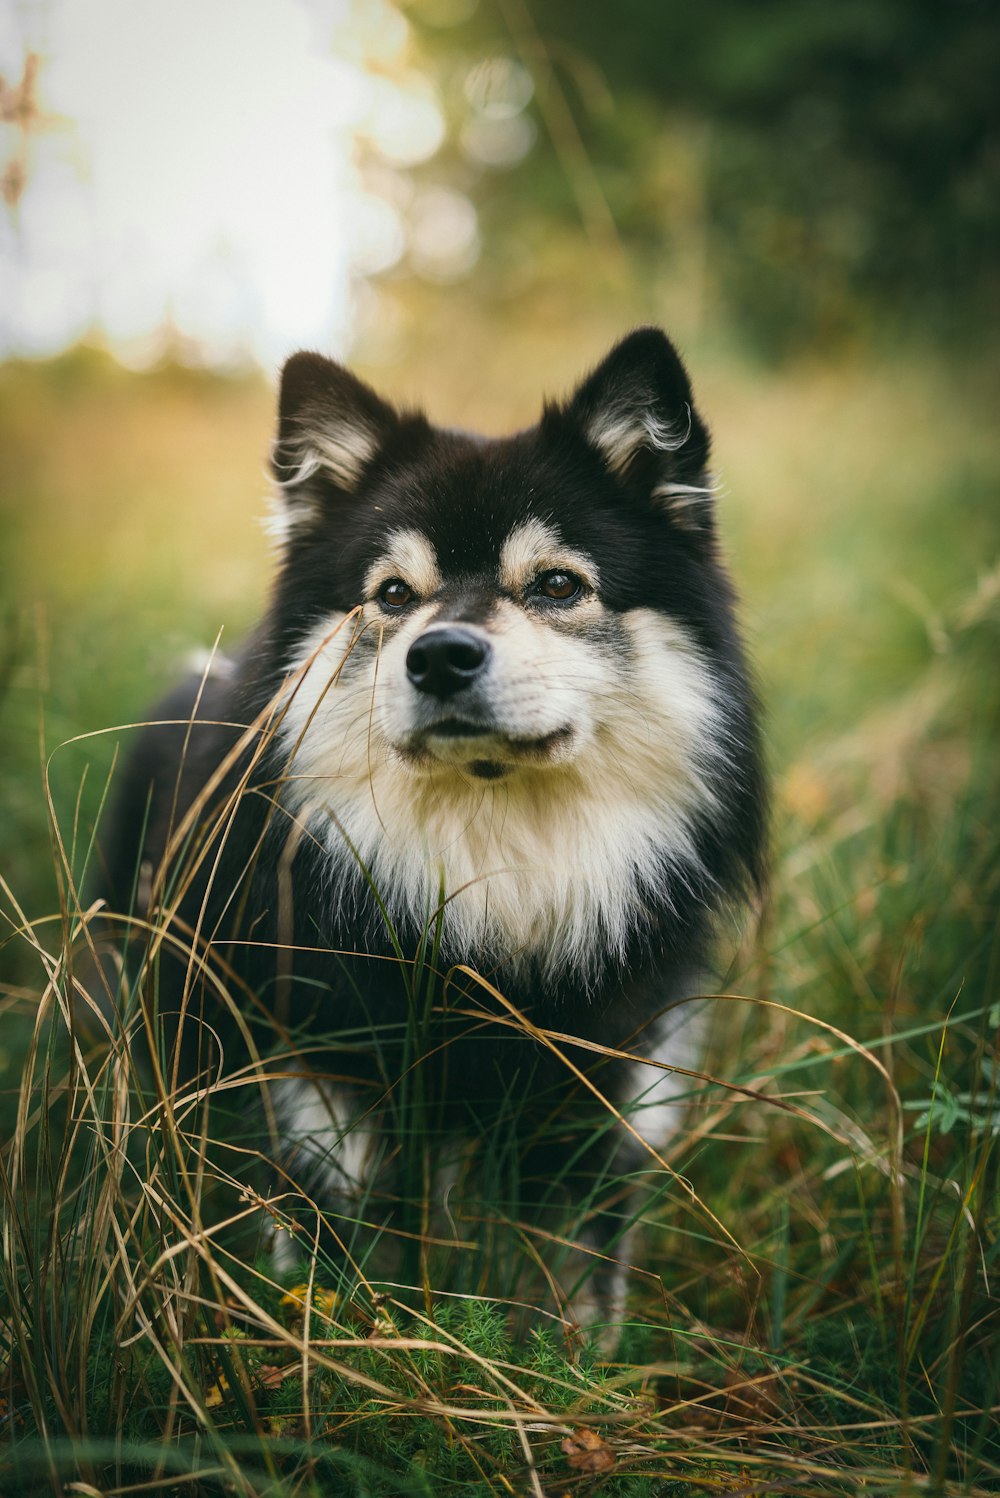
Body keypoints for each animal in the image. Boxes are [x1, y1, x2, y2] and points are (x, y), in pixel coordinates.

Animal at [99, 328, 766, 1336]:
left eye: (558, 585)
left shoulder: (598, 1092)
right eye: (391, 594)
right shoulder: (325, 1087)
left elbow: (570, 1283)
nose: (441, 655)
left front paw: (573, 1365)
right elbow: (339, 1271)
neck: (489, 873)